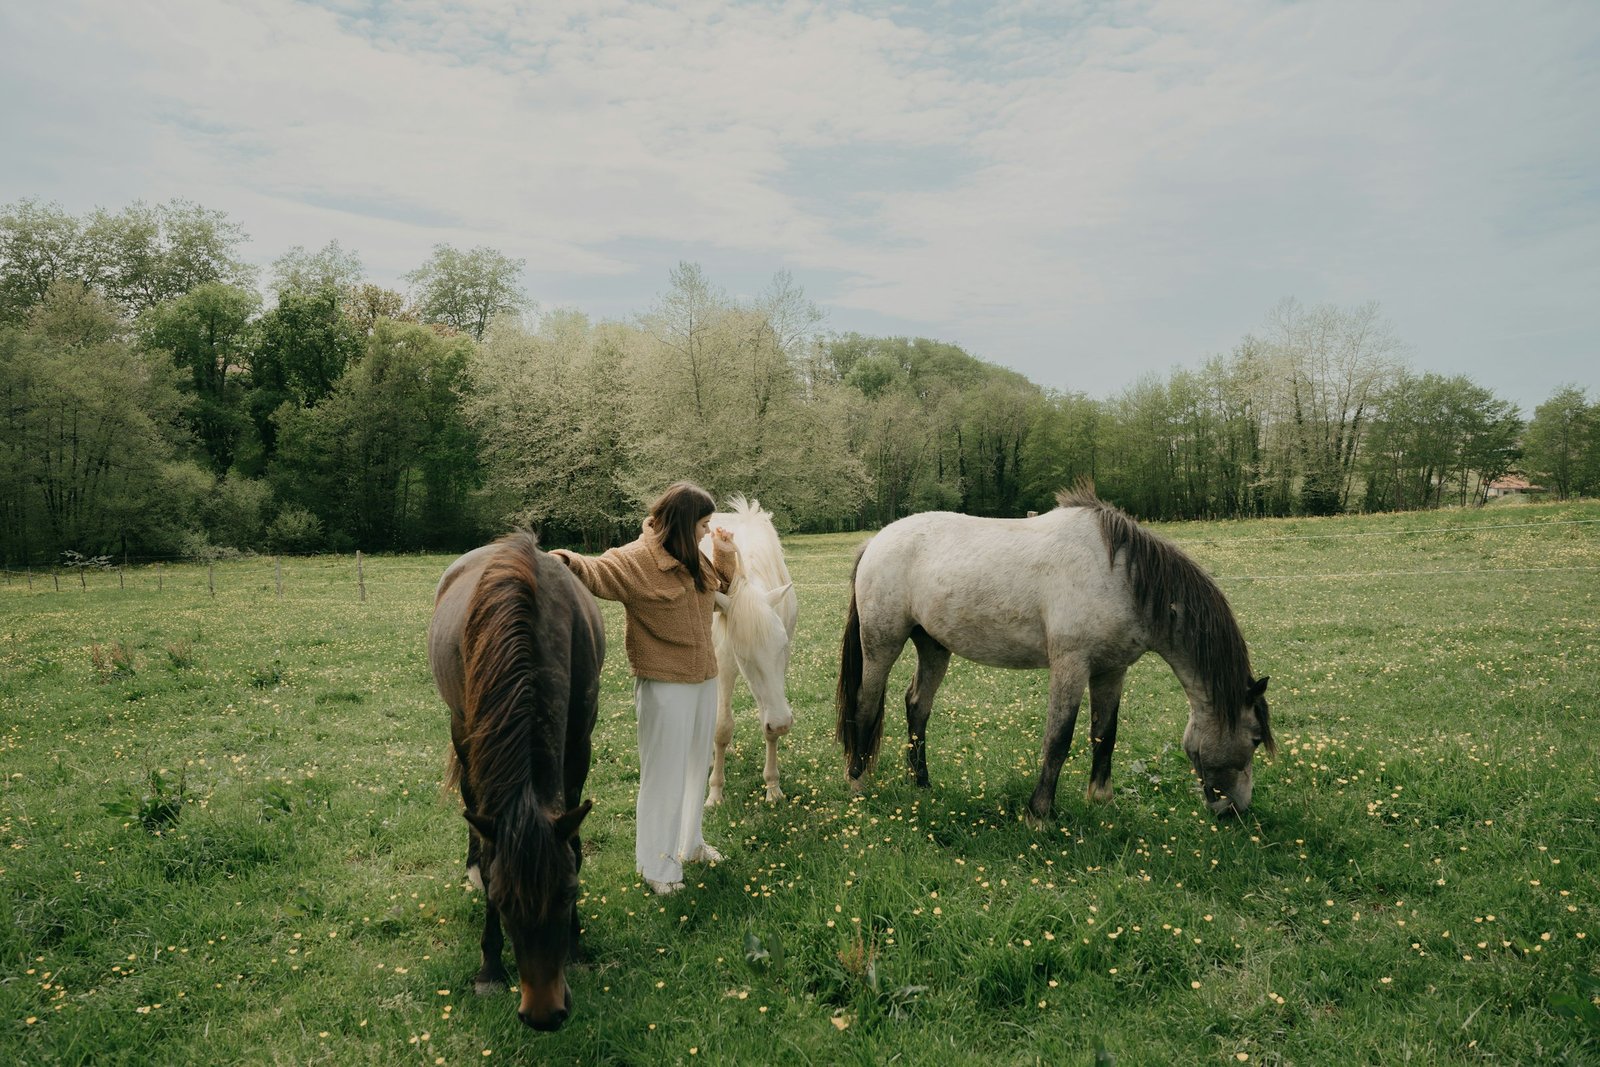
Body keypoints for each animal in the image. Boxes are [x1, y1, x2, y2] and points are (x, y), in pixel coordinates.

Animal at [427, 530, 605, 1031]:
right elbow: (489, 850)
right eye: (503, 902)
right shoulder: (470, 738)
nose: (543, 1014)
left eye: (569, 892)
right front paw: (490, 968)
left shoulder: (579, 746)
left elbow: (575, 843)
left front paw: (577, 946)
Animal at [699, 495, 797, 805]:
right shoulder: (725, 664)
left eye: (783, 648)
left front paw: (773, 787)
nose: (782, 723)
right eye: (743, 655)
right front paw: (715, 792)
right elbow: (722, 727)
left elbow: (767, 725)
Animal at [836, 485, 1272, 824]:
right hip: (882, 643)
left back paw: (922, 784)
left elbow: (1104, 734)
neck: (1119, 577)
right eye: (1254, 738)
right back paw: (858, 783)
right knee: (866, 704)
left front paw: (1101, 800)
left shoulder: (1111, 670)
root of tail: (875, 542)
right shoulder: (1070, 665)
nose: (1236, 810)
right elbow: (1059, 738)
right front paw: (1039, 814)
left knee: (917, 707)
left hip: (933, 646)